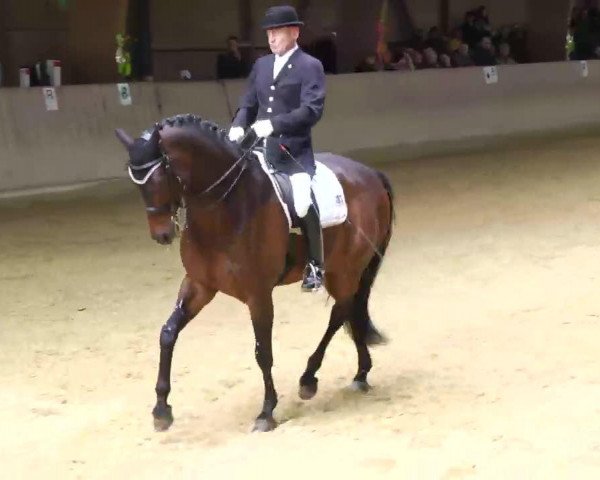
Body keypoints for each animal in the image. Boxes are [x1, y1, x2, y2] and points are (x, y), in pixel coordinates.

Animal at [115, 114, 396, 434]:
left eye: (162, 175)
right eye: (136, 182)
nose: (162, 235)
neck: (225, 207)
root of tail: (371, 173)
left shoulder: (258, 294)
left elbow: (263, 352)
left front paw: (267, 411)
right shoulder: (199, 284)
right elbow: (167, 334)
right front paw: (161, 409)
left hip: (345, 269)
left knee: (340, 312)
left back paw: (310, 378)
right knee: (351, 310)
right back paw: (360, 373)